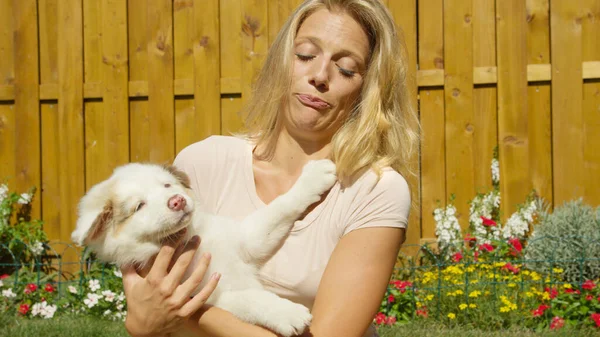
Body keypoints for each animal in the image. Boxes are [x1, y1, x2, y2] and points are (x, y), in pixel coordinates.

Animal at [71, 159, 338, 334]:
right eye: (139, 206)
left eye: (167, 186)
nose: (177, 201)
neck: (187, 240)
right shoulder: (202, 296)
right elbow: (247, 298)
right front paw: (287, 314)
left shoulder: (246, 239)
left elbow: (278, 208)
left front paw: (314, 178)